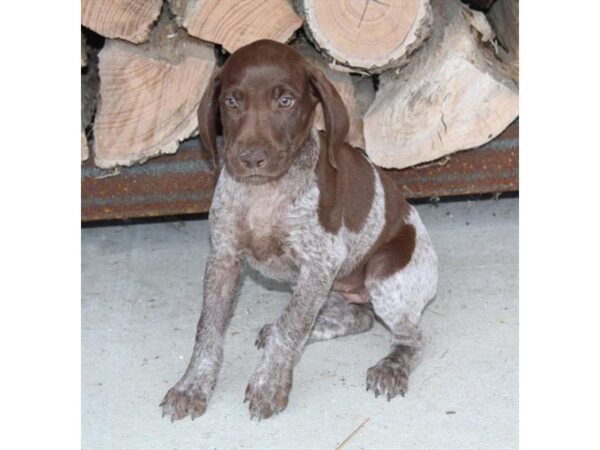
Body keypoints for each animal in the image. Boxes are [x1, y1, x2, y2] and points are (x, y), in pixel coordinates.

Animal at [162, 39, 438, 422]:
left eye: (285, 101)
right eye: (232, 102)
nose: (251, 158)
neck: (264, 192)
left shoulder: (320, 262)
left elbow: (291, 328)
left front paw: (269, 384)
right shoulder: (224, 257)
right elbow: (209, 329)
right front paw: (192, 385)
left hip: (385, 276)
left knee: (411, 337)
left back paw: (391, 367)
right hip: (323, 286)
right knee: (356, 318)